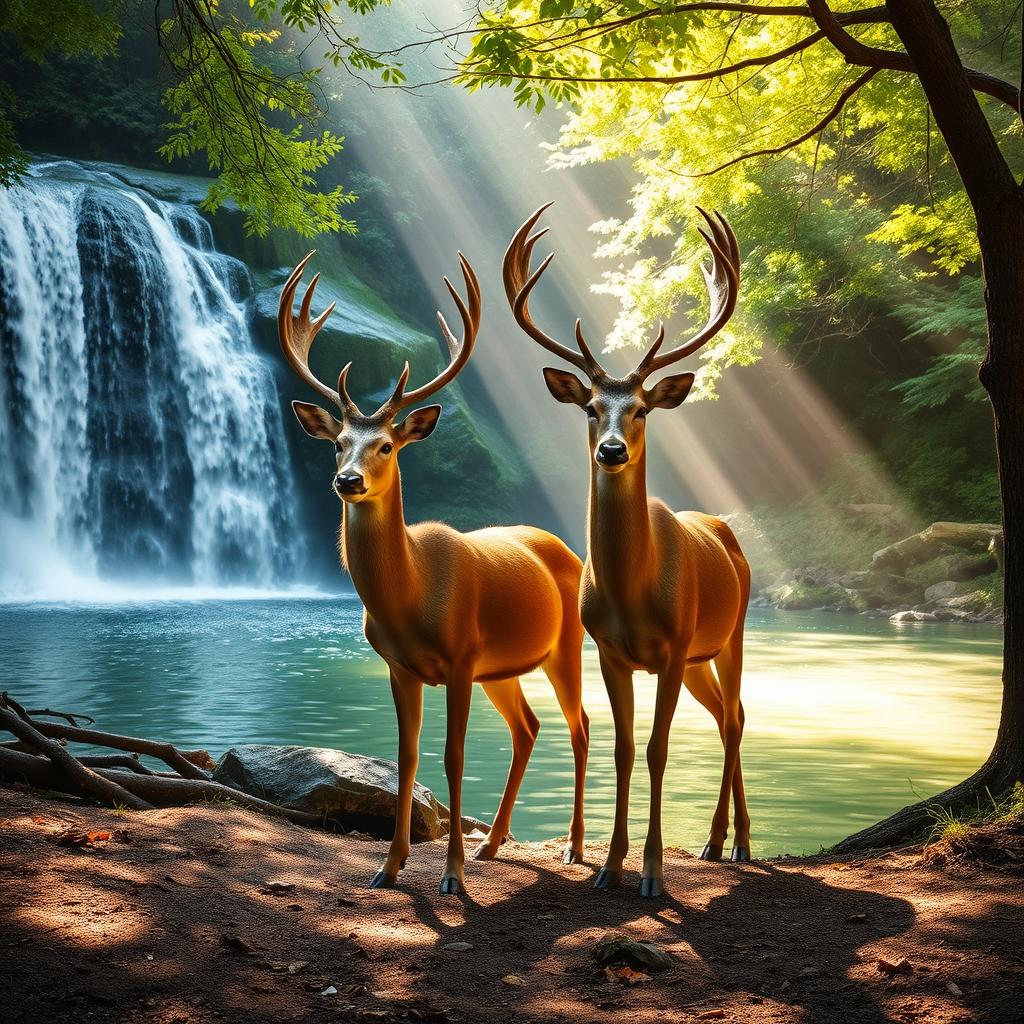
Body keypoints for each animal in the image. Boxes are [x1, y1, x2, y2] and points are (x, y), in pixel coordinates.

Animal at [278, 250, 589, 895]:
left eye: (387, 446)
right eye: (338, 442)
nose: (347, 481)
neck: (413, 595)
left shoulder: (462, 659)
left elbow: (454, 756)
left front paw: (451, 876)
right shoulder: (400, 666)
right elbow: (407, 756)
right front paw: (388, 866)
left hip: (566, 645)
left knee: (580, 726)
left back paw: (573, 847)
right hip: (505, 667)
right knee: (528, 727)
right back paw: (494, 843)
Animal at [504, 205, 751, 897]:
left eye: (641, 409)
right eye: (590, 406)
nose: (611, 449)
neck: (633, 590)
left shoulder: (671, 644)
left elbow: (658, 750)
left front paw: (652, 873)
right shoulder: (610, 649)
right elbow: (621, 747)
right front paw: (609, 867)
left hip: (729, 631)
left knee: (735, 717)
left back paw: (737, 841)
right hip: (698, 657)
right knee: (728, 714)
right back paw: (720, 839)